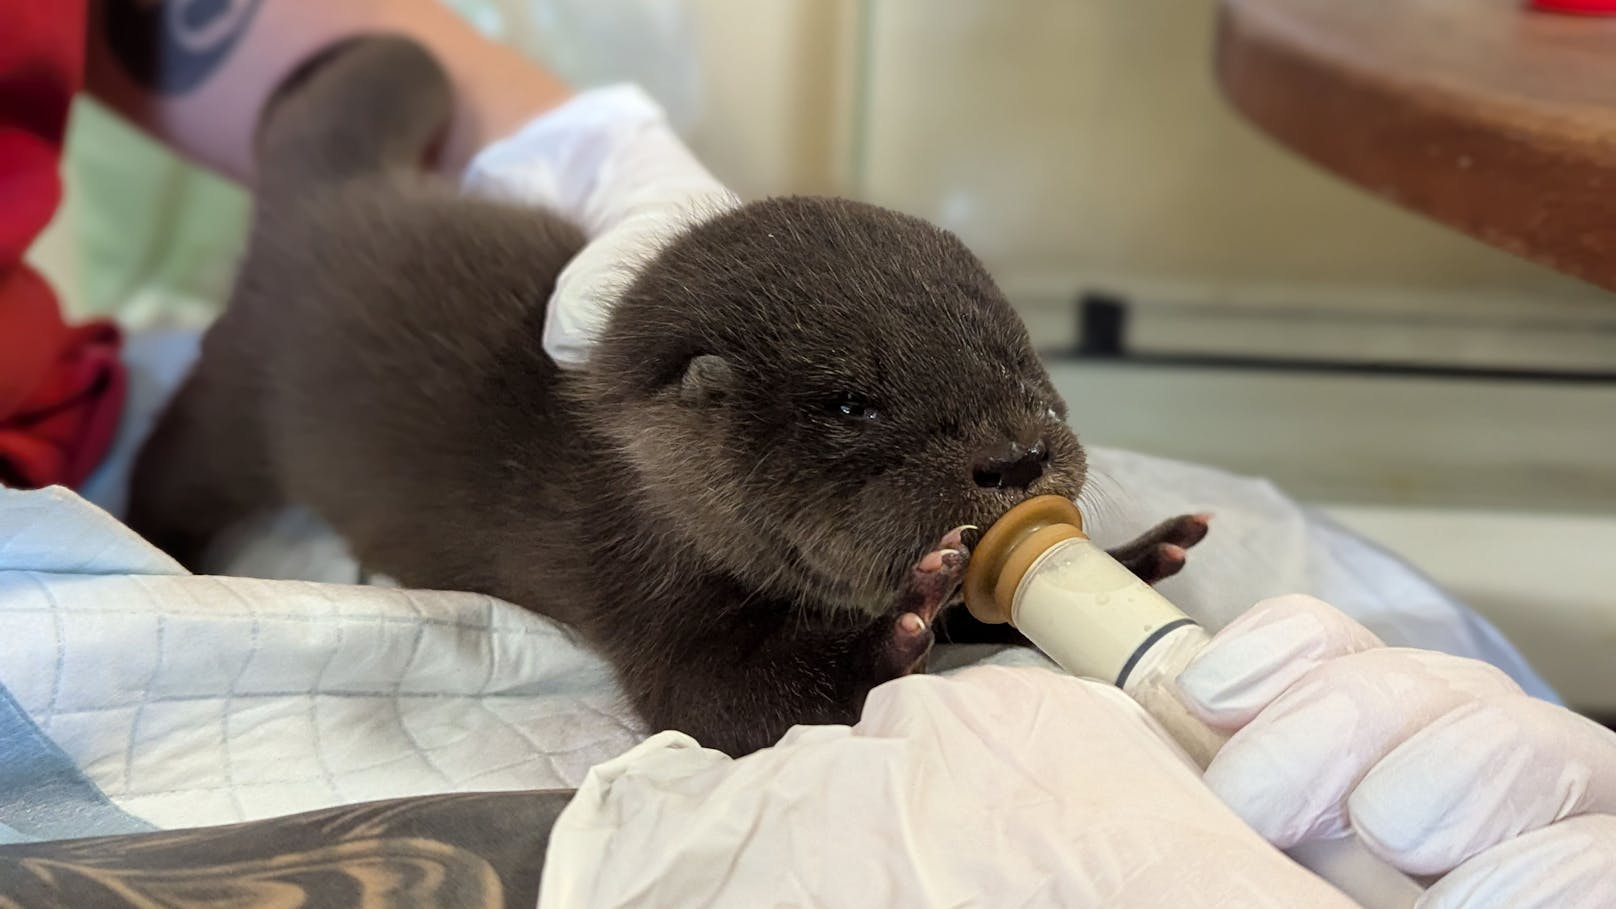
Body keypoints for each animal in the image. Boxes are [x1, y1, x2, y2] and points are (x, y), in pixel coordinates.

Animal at [129, 37, 1202, 750]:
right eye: (856, 406)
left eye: (1025, 371)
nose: (1017, 457)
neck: (639, 484)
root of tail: (320, 201)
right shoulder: (638, 588)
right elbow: (723, 708)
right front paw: (896, 629)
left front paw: (1139, 554)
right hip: (236, 398)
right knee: (169, 463)